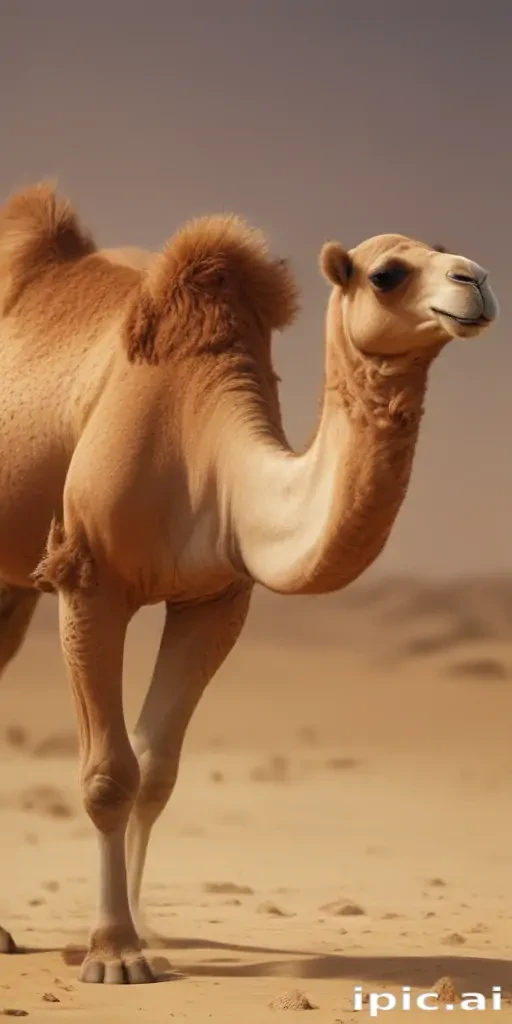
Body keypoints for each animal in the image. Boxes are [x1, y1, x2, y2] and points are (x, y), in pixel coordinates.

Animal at [0, 183, 498, 984]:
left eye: (447, 253)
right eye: (388, 273)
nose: (476, 280)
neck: (206, 447)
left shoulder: (214, 599)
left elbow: (156, 769)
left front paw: (144, 932)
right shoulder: (89, 576)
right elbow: (109, 774)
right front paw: (114, 955)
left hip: (12, 588)